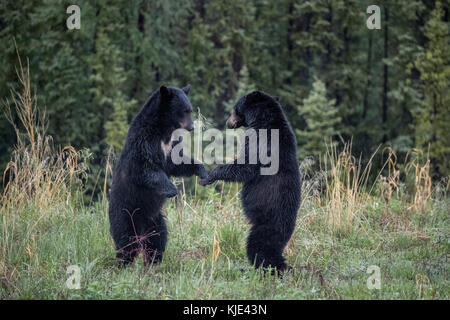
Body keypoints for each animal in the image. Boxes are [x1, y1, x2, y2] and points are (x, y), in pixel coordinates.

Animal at [109, 85, 207, 268]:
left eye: (190, 110)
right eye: (184, 111)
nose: (191, 127)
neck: (163, 129)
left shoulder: (171, 144)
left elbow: (176, 162)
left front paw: (203, 171)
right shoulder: (143, 140)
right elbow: (145, 168)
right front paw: (171, 189)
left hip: (155, 219)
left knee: (157, 239)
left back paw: (153, 261)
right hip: (125, 212)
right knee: (126, 240)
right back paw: (123, 263)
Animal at [201, 90, 302, 272]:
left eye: (234, 109)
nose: (228, 122)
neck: (263, 119)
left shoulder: (260, 141)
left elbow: (245, 165)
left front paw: (209, 176)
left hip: (266, 225)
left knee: (258, 246)